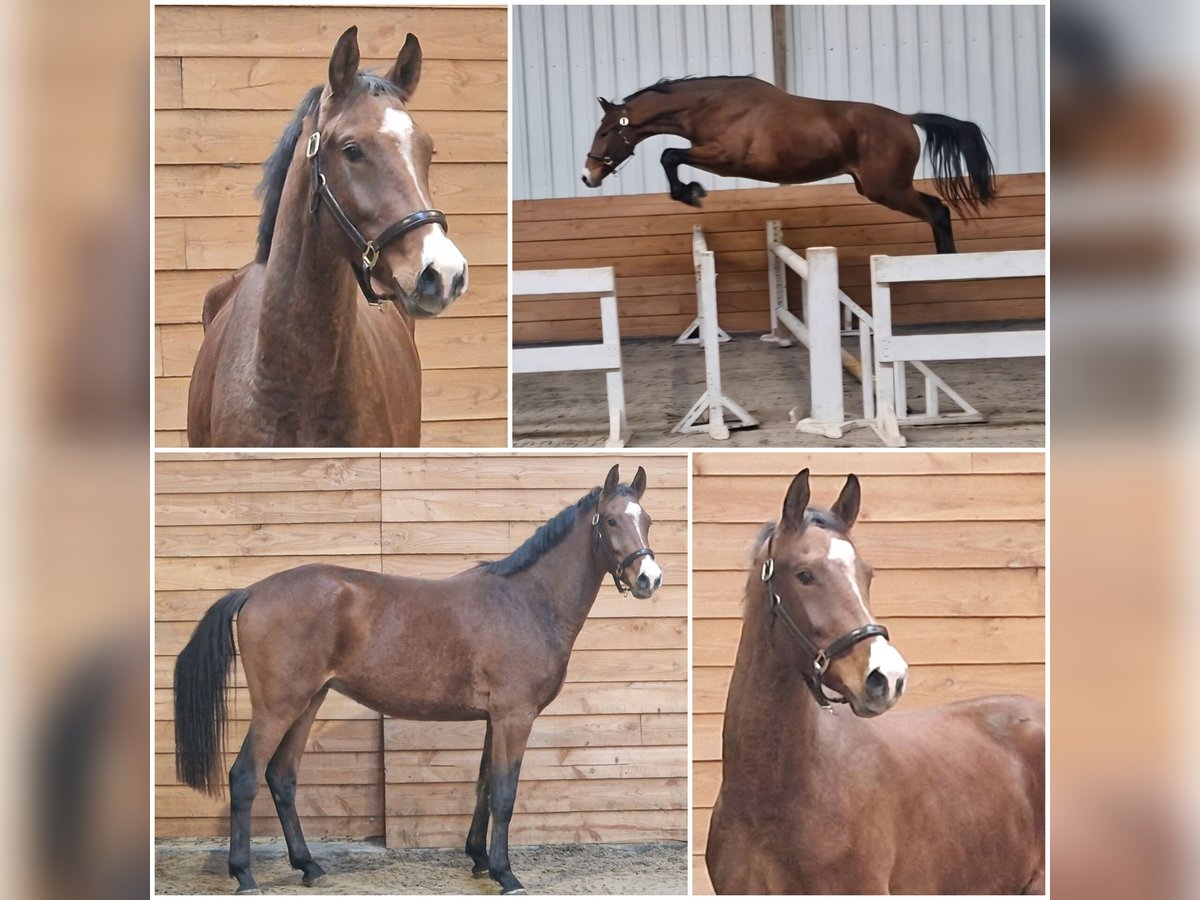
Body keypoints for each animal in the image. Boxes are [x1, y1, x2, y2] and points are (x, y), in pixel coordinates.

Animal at [173, 465, 663, 895]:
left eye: (647, 520)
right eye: (612, 520)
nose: (649, 579)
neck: (526, 601)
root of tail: (253, 591)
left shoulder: (494, 718)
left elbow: (484, 785)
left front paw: (479, 860)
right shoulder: (514, 715)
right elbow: (504, 794)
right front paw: (506, 874)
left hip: (308, 701)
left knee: (282, 778)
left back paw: (309, 867)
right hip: (278, 707)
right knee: (245, 776)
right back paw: (245, 875)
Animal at [582, 76, 997, 254]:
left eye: (604, 132)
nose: (588, 176)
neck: (711, 105)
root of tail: (908, 120)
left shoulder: (725, 158)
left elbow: (669, 155)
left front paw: (692, 194)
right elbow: (670, 155)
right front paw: (690, 192)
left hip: (888, 189)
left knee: (938, 211)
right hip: (877, 188)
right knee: (936, 212)